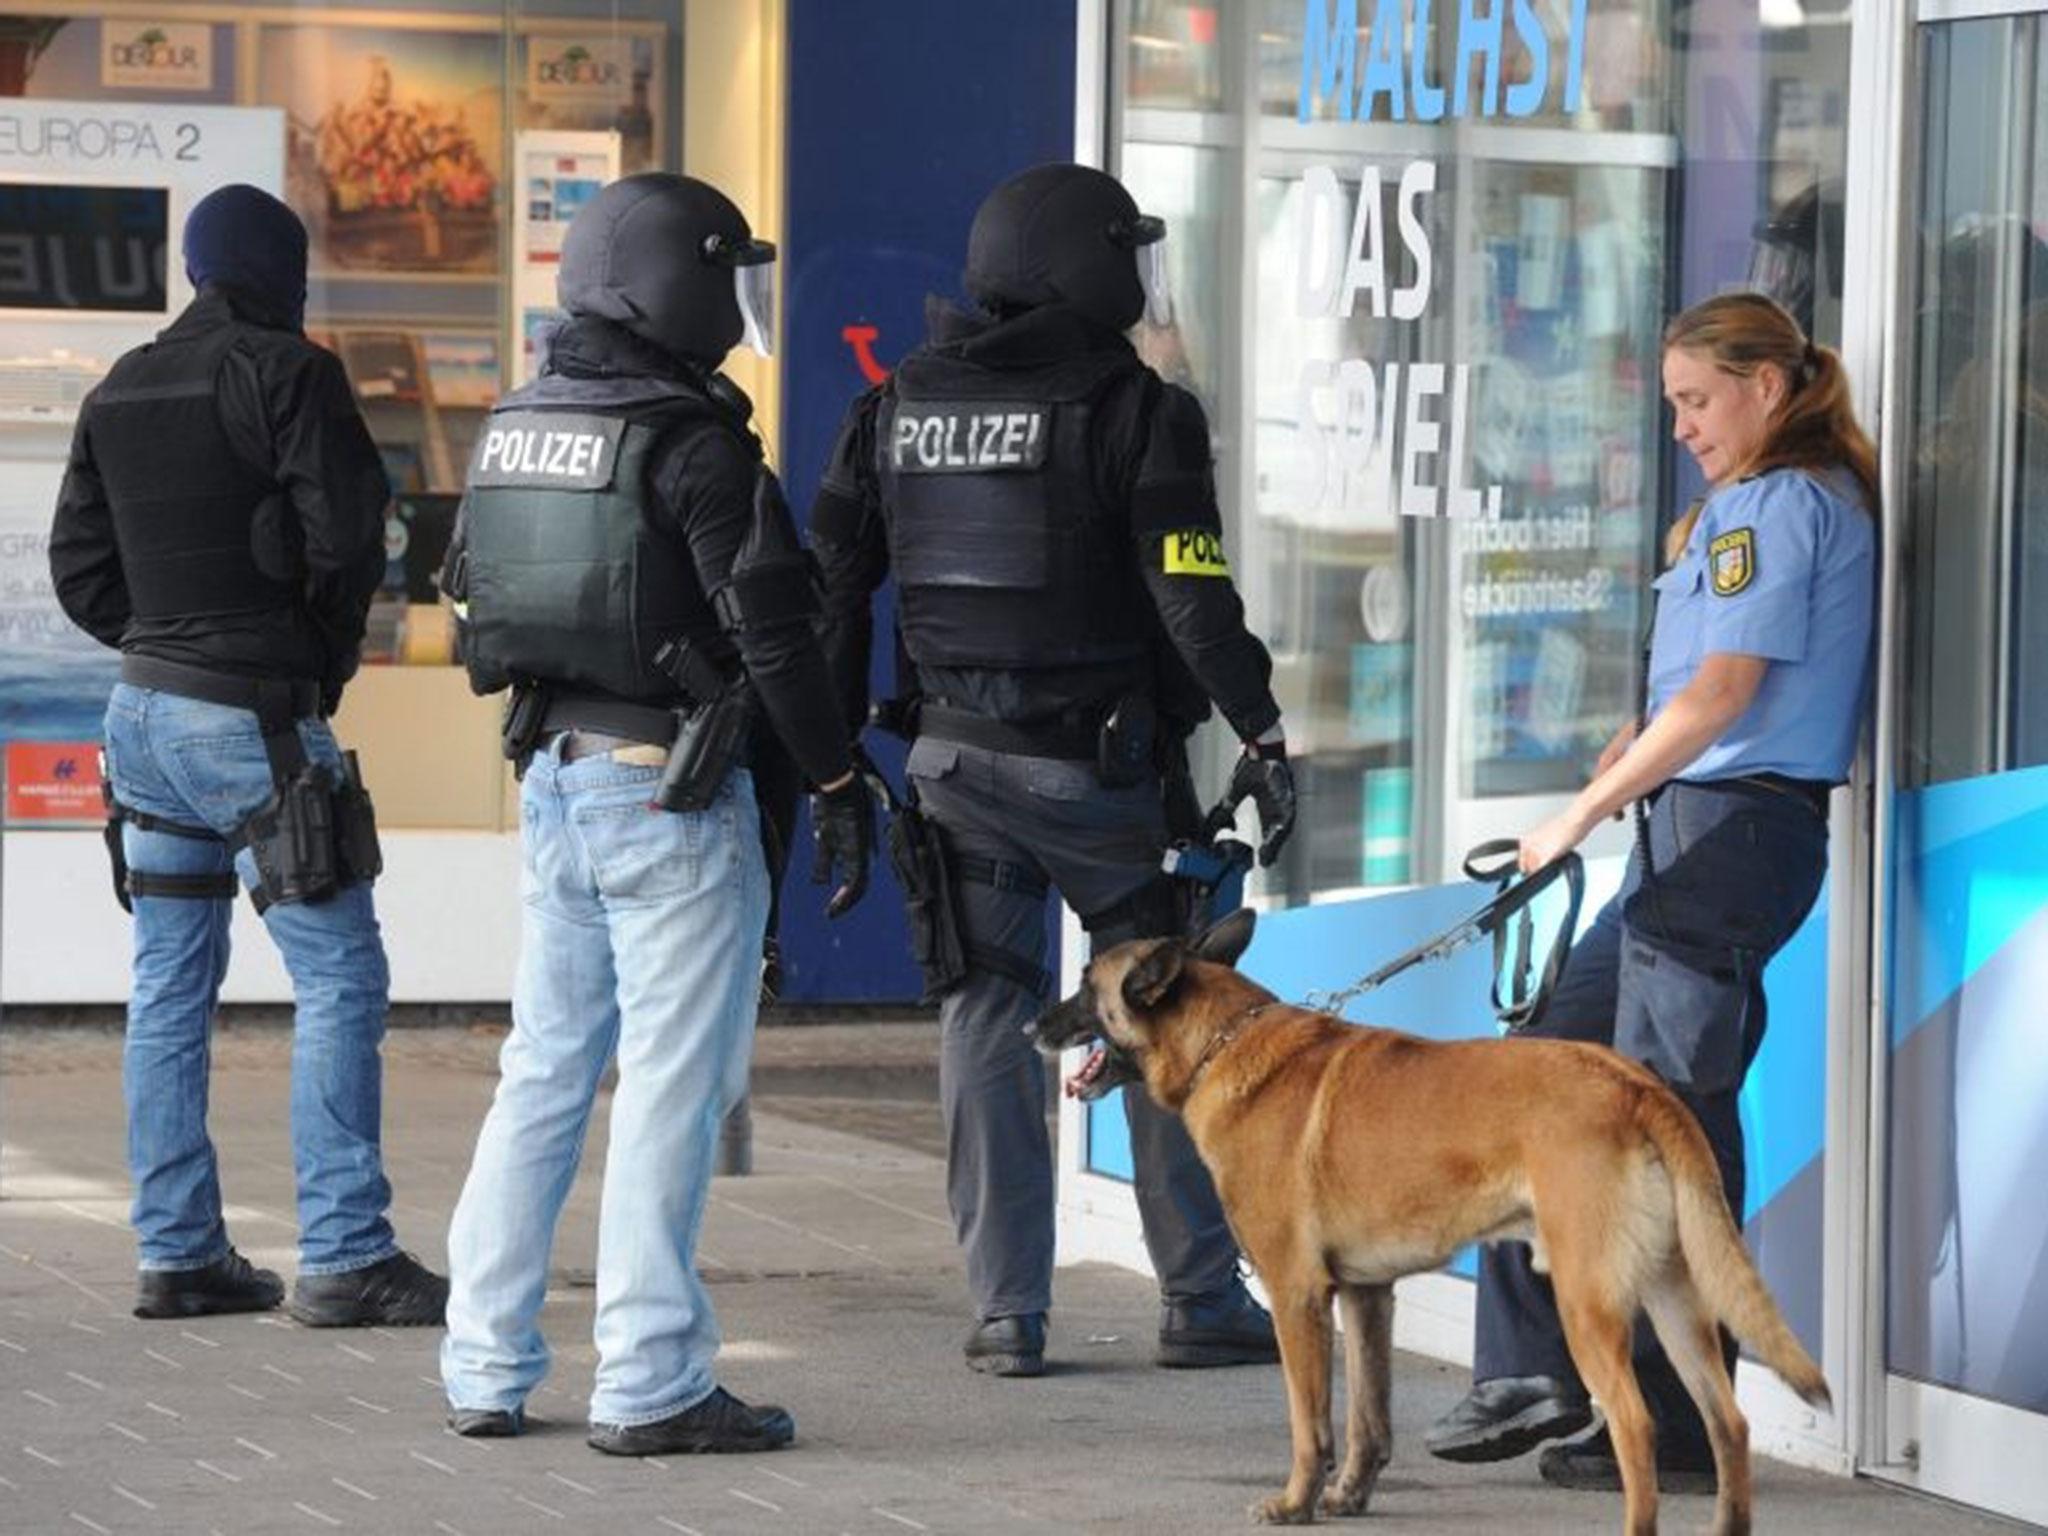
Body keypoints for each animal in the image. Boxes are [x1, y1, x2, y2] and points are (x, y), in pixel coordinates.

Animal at [1032, 913, 1835, 1536]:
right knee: (1727, 1421)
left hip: (1585, 1302)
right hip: (1675, 1303)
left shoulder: (1296, 1298)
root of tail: (1637, 1086)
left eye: (1085, 985)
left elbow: (1309, 1422)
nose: (1033, 1023)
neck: (1223, 1040)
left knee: (1636, 1424)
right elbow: (1368, 1418)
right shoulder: (1366, 1297)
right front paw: (1348, 1496)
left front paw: (1296, 1502)